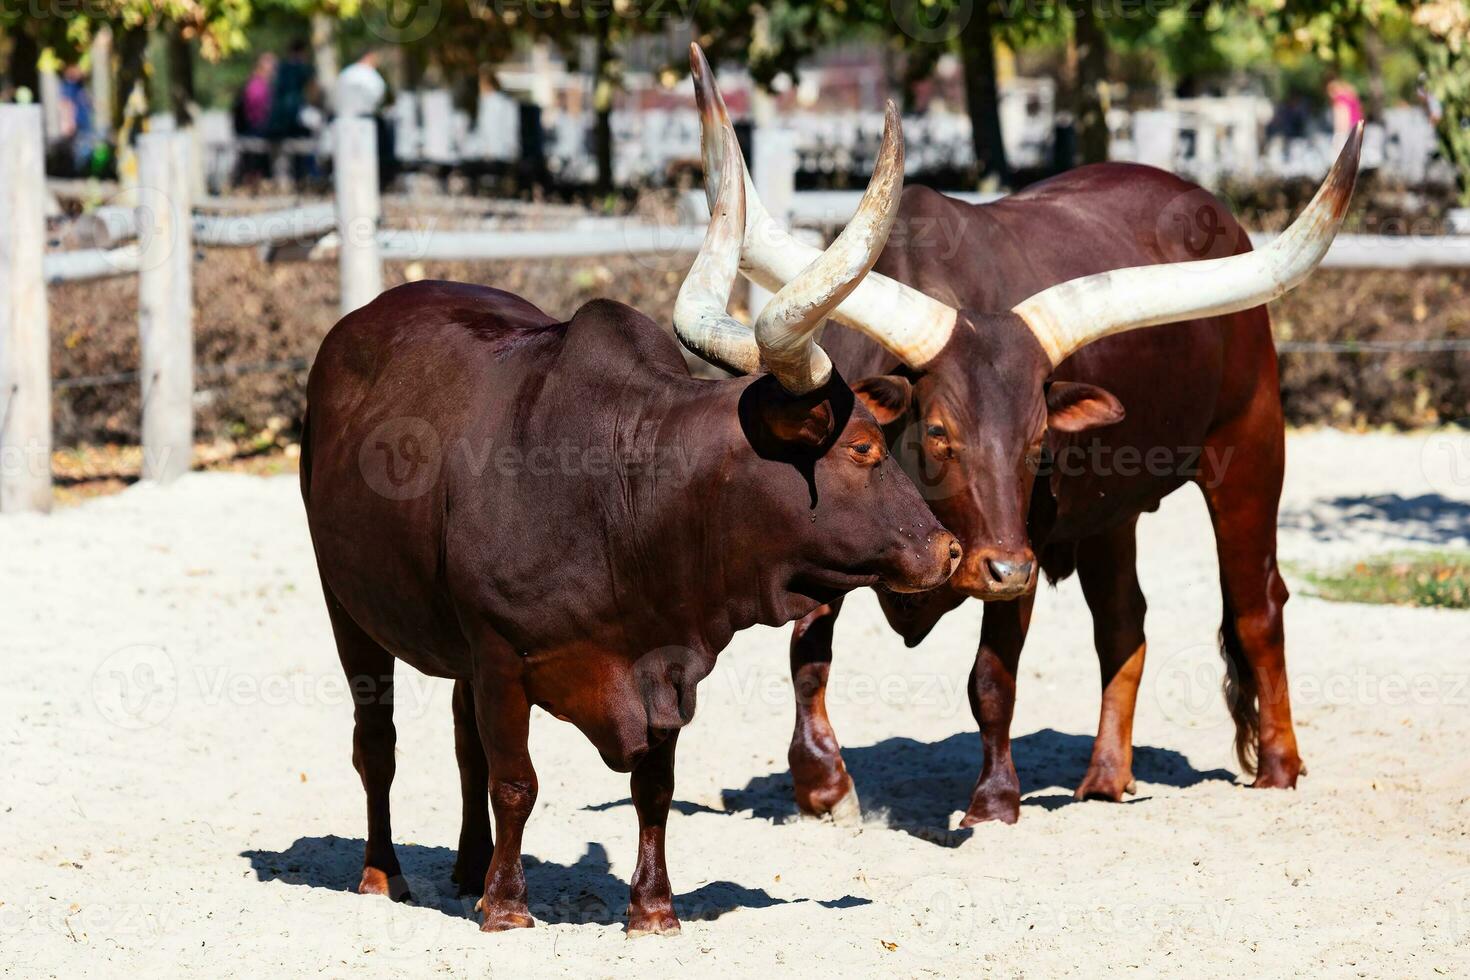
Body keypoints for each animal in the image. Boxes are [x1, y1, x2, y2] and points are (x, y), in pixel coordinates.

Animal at [301, 113, 964, 934]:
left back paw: (467, 868)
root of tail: (357, 323)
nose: (948, 548)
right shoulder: (499, 654)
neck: (624, 500)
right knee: (379, 743)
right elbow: (516, 781)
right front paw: (508, 907)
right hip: (347, 605)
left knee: (462, 742)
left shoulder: (662, 667)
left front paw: (651, 908)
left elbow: (652, 787)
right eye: (864, 449)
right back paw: (383, 873)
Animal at [693, 45, 1358, 828]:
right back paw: (1104, 777)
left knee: (1257, 605)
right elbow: (805, 653)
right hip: (1110, 512)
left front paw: (993, 802)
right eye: (939, 431)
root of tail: (1215, 213)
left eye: (1039, 438)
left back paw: (1279, 767)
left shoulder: (1027, 534)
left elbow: (992, 676)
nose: (1006, 569)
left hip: (1250, 445)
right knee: (1123, 621)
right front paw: (823, 786)